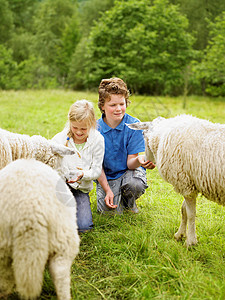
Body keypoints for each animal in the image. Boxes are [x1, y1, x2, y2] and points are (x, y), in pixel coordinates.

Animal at [128, 114, 225, 246]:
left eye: (142, 134)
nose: (145, 160)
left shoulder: (185, 184)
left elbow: (191, 214)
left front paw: (190, 242)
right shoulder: (188, 184)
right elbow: (184, 210)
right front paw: (180, 235)